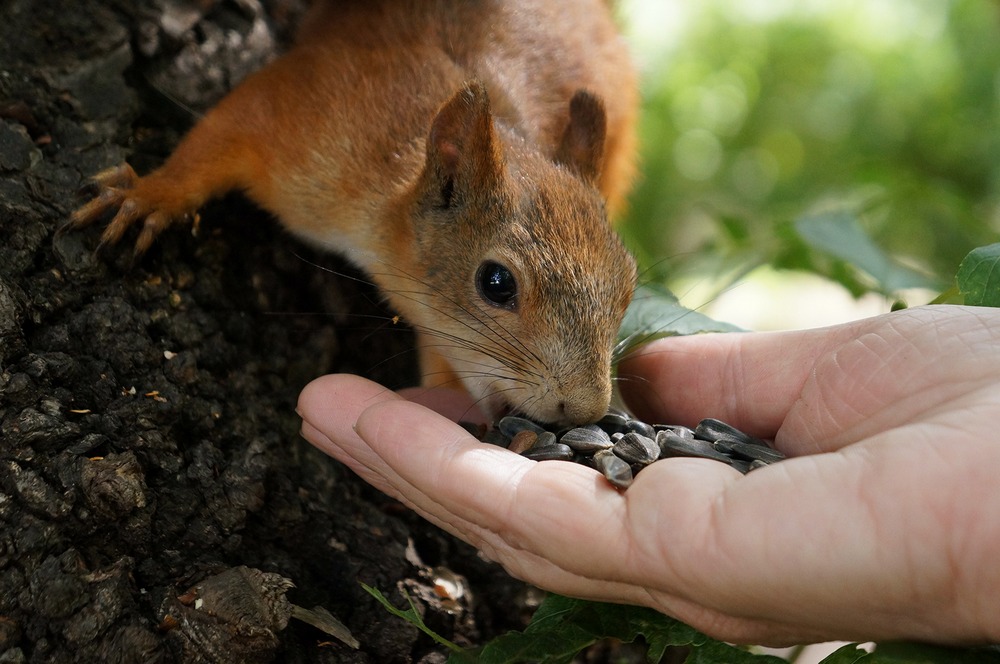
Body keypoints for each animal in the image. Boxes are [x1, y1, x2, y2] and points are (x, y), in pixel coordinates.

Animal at [64, 0, 640, 426]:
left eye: (628, 285)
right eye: (496, 283)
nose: (582, 412)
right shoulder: (312, 112)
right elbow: (224, 131)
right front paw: (150, 195)